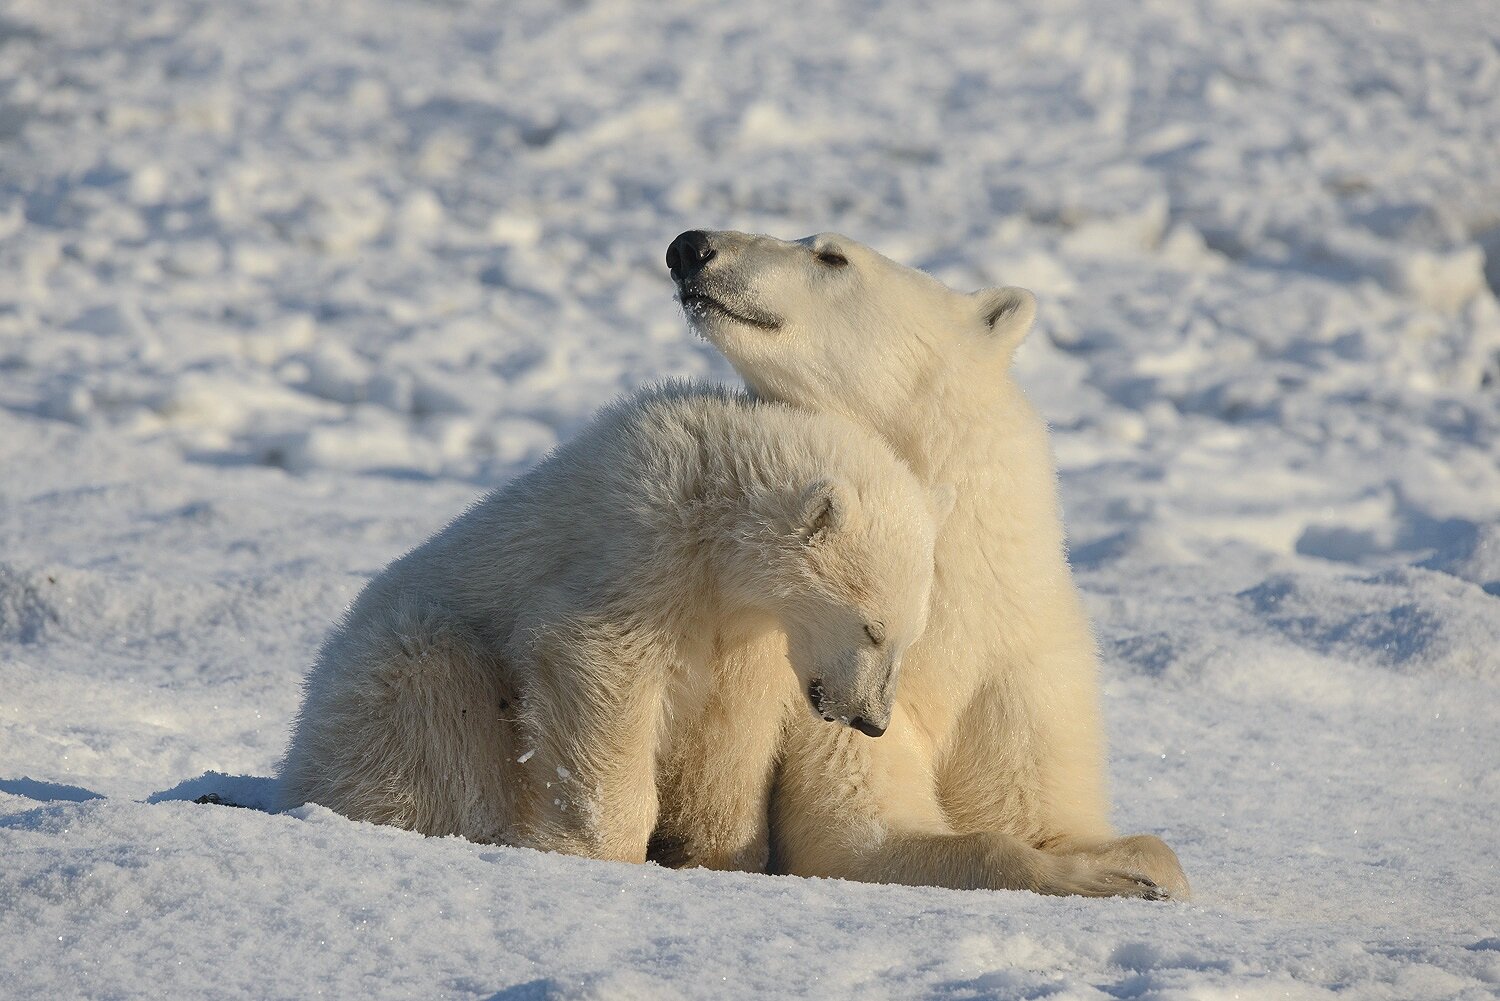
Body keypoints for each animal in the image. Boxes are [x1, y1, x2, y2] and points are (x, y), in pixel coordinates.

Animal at [675, 229, 1188, 900]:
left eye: (830, 255)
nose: (690, 247)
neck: (952, 615)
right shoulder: (840, 681)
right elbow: (860, 833)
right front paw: (1106, 880)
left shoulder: (1016, 668)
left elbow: (1051, 815)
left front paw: (1138, 867)